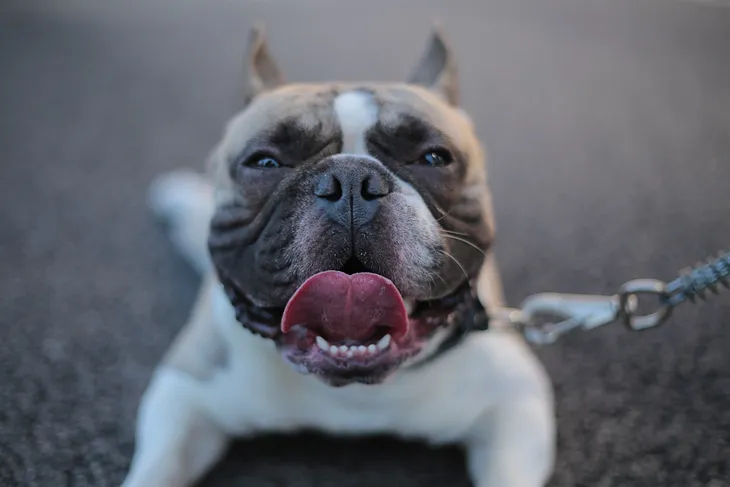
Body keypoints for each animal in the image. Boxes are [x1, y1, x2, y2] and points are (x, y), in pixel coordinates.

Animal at [121, 24, 552, 486]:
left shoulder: (516, 399)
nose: (350, 180)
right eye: (265, 162)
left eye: (434, 157)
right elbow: (156, 468)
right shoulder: (186, 391)